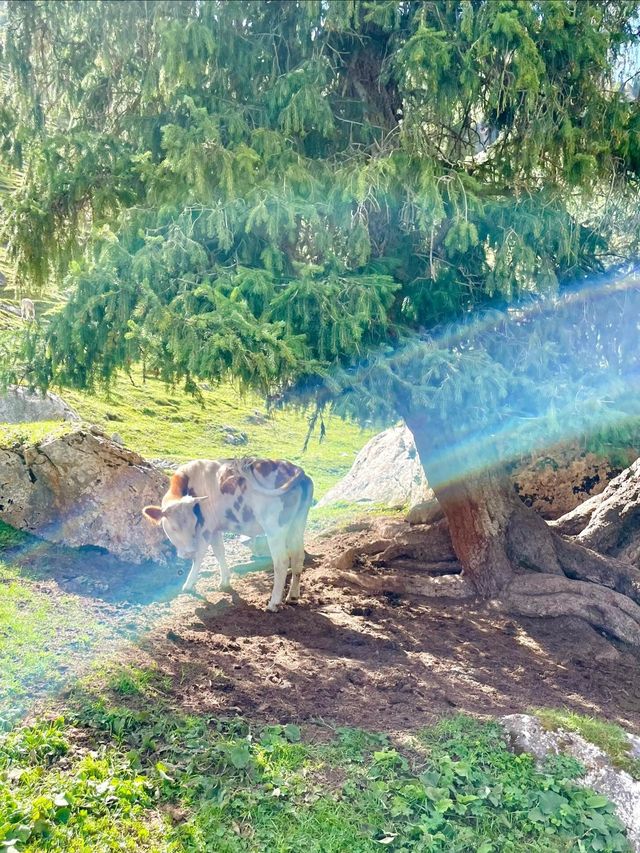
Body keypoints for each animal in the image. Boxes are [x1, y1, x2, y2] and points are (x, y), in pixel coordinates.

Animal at [141, 456, 314, 608]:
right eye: (174, 527)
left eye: (194, 522)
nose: (188, 551)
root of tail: (296, 469)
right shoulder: (215, 529)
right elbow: (219, 552)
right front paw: (224, 582)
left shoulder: (205, 530)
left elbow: (199, 557)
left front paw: (188, 586)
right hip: (297, 524)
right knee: (298, 557)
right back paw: (292, 597)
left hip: (275, 529)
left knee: (282, 561)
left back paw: (273, 603)